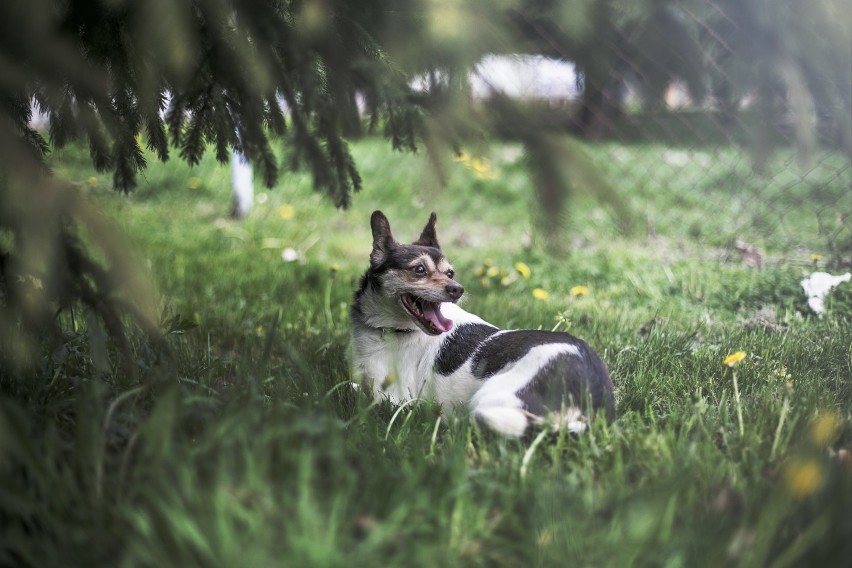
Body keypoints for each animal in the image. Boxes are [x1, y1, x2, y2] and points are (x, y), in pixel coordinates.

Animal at [350, 211, 616, 438]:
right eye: (419, 269)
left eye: (450, 273)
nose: (457, 289)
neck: (391, 329)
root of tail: (593, 393)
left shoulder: (391, 398)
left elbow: (357, 391)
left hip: (490, 401)